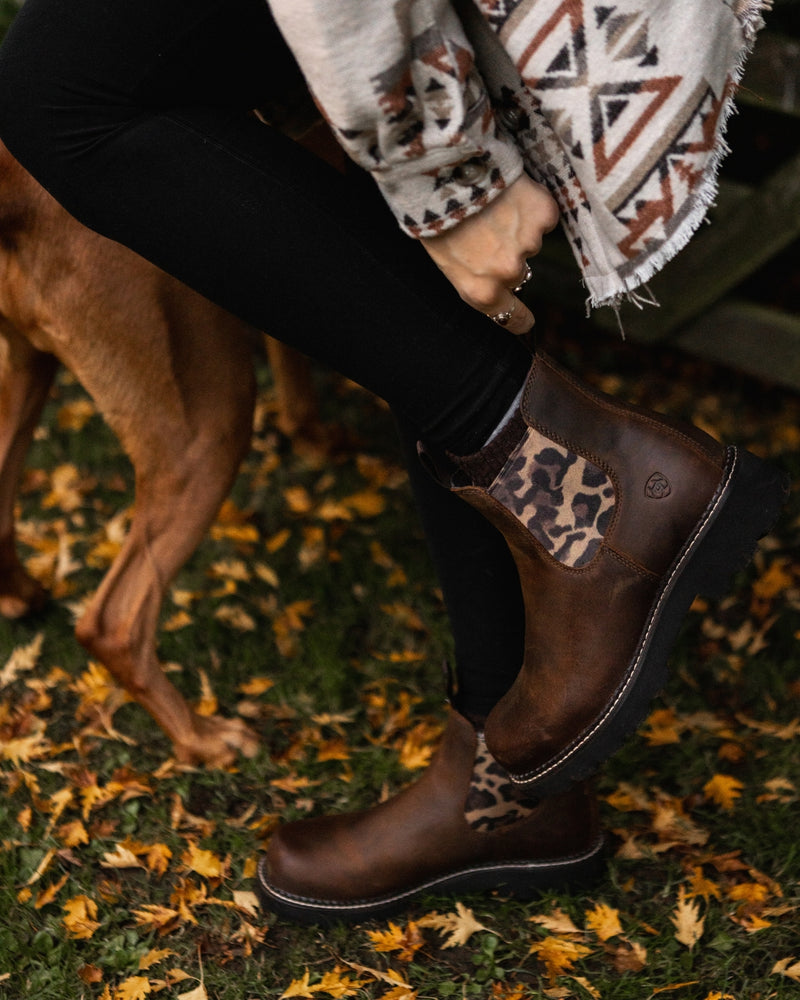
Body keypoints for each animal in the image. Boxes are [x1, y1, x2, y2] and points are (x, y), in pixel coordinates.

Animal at [0, 139, 330, 764]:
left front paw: (316, 438)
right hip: (209, 421)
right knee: (112, 624)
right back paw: (203, 740)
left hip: (29, 364)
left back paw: (20, 596)